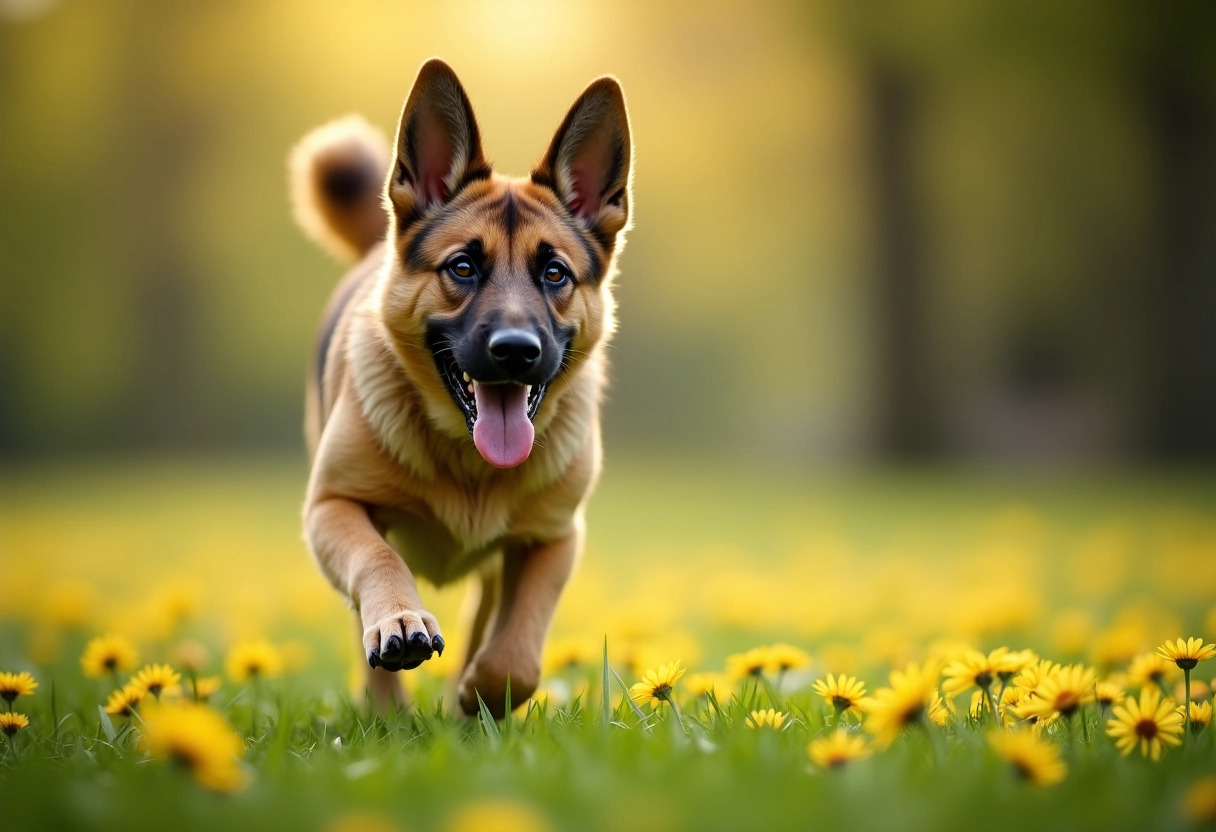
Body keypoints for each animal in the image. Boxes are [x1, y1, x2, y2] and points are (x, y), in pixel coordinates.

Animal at [284, 58, 627, 720]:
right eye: (462, 268)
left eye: (555, 274)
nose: (516, 351)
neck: (466, 463)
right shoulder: (333, 508)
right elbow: (379, 557)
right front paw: (400, 622)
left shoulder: (553, 541)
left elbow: (516, 655)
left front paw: (478, 695)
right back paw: (387, 713)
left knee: (484, 618)